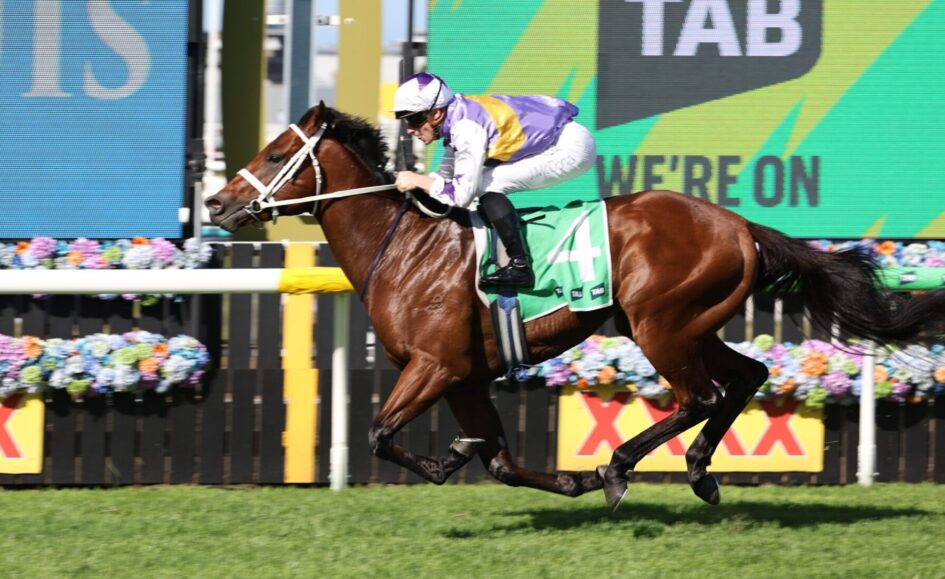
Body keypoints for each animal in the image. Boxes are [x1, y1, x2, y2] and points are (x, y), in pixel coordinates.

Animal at [205, 103, 945, 509]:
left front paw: (453, 462)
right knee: (747, 377)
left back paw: (620, 466)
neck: (407, 246)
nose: (214, 202)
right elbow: (498, 460)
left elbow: (380, 434)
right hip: (690, 323)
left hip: (659, 323)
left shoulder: (435, 366)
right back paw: (699, 472)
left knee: (700, 396)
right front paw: (533, 475)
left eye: (275, 152)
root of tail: (738, 225)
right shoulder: (465, 375)